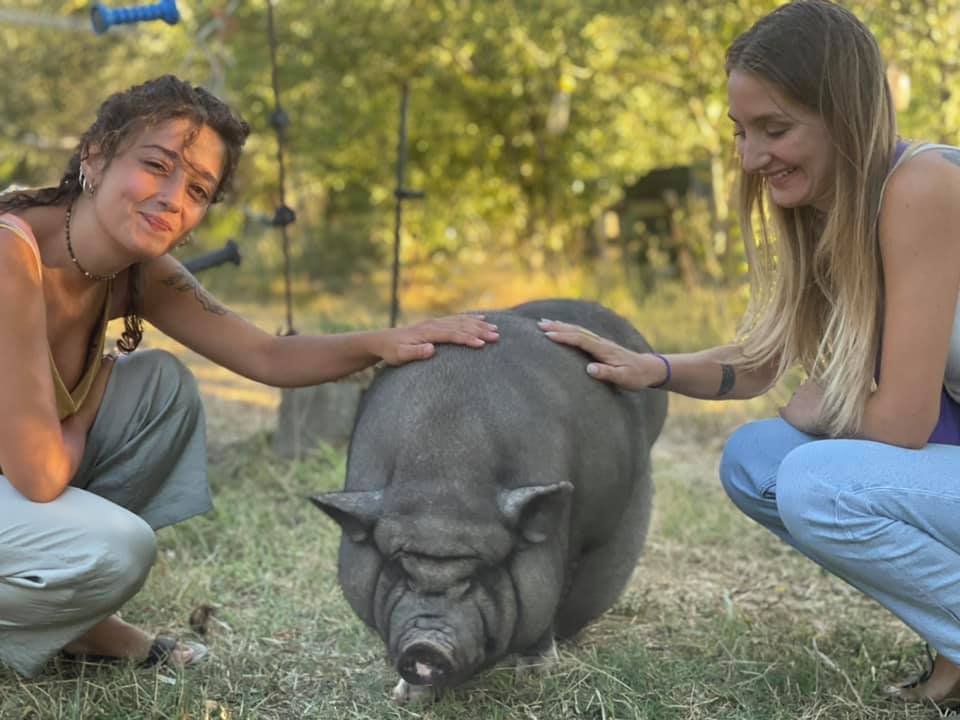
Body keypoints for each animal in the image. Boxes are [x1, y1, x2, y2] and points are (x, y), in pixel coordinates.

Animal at [314, 300, 668, 704]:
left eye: (476, 575)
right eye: (401, 569)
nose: (425, 647)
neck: (444, 478)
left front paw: (535, 676)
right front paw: (405, 697)